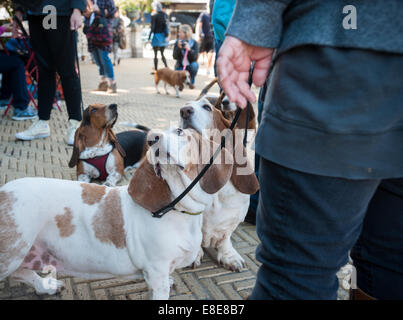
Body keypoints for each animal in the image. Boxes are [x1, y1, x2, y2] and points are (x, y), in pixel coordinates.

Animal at [0, 126, 234, 298]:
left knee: (22, 272)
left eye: (180, 132)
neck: (177, 209)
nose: (152, 138)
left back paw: (45, 285)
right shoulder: (157, 272)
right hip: (12, 255)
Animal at [180, 97, 258, 270]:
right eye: (183, 107)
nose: (184, 111)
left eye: (207, 107)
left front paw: (230, 257)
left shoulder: (233, 218)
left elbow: (225, 238)